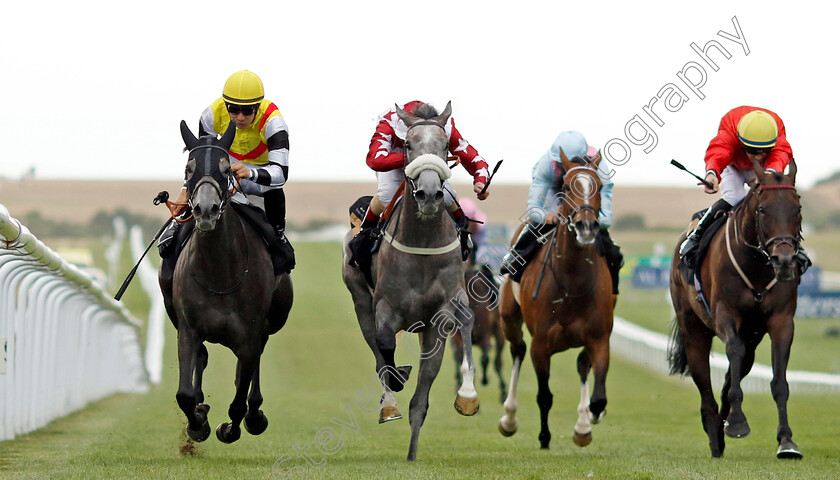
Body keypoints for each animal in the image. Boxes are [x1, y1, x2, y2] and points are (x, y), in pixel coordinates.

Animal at [162, 122, 296, 444]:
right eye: (188, 169)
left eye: (225, 169)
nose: (205, 209)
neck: (219, 272)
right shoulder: (188, 330)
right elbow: (184, 394)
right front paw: (197, 422)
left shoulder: (249, 335)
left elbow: (237, 401)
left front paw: (232, 426)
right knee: (203, 360)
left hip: (271, 321)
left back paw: (255, 413)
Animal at [342, 101, 480, 462]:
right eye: (406, 144)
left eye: (445, 146)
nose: (430, 194)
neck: (423, 243)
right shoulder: (384, 308)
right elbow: (385, 347)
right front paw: (394, 388)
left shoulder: (442, 312)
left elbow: (427, 382)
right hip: (360, 302)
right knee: (377, 351)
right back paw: (390, 399)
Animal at [496, 151, 612, 450]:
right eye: (568, 187)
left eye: (599, 186)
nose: (586, 227)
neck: (571, 281)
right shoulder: (541, 344)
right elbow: (544, 396)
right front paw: (544, 437)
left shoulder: (599, 338)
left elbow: (598, 397)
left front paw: (590, 418)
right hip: (508, 319)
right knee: (517, 350)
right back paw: (509, 419)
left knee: (582, 364)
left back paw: (582, 427)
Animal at [668, 159, 808, 460]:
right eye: (763, 209)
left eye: (797, 208)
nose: (784, 260)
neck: (756, 264)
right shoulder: (725, 314)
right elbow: (732, 349)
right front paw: (737, 422)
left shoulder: (781, 321)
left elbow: (779, 382)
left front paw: (786, 441)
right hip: (693, 329)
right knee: (705, 385)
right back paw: (714, 435)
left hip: (752, 339)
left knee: (730, 377)